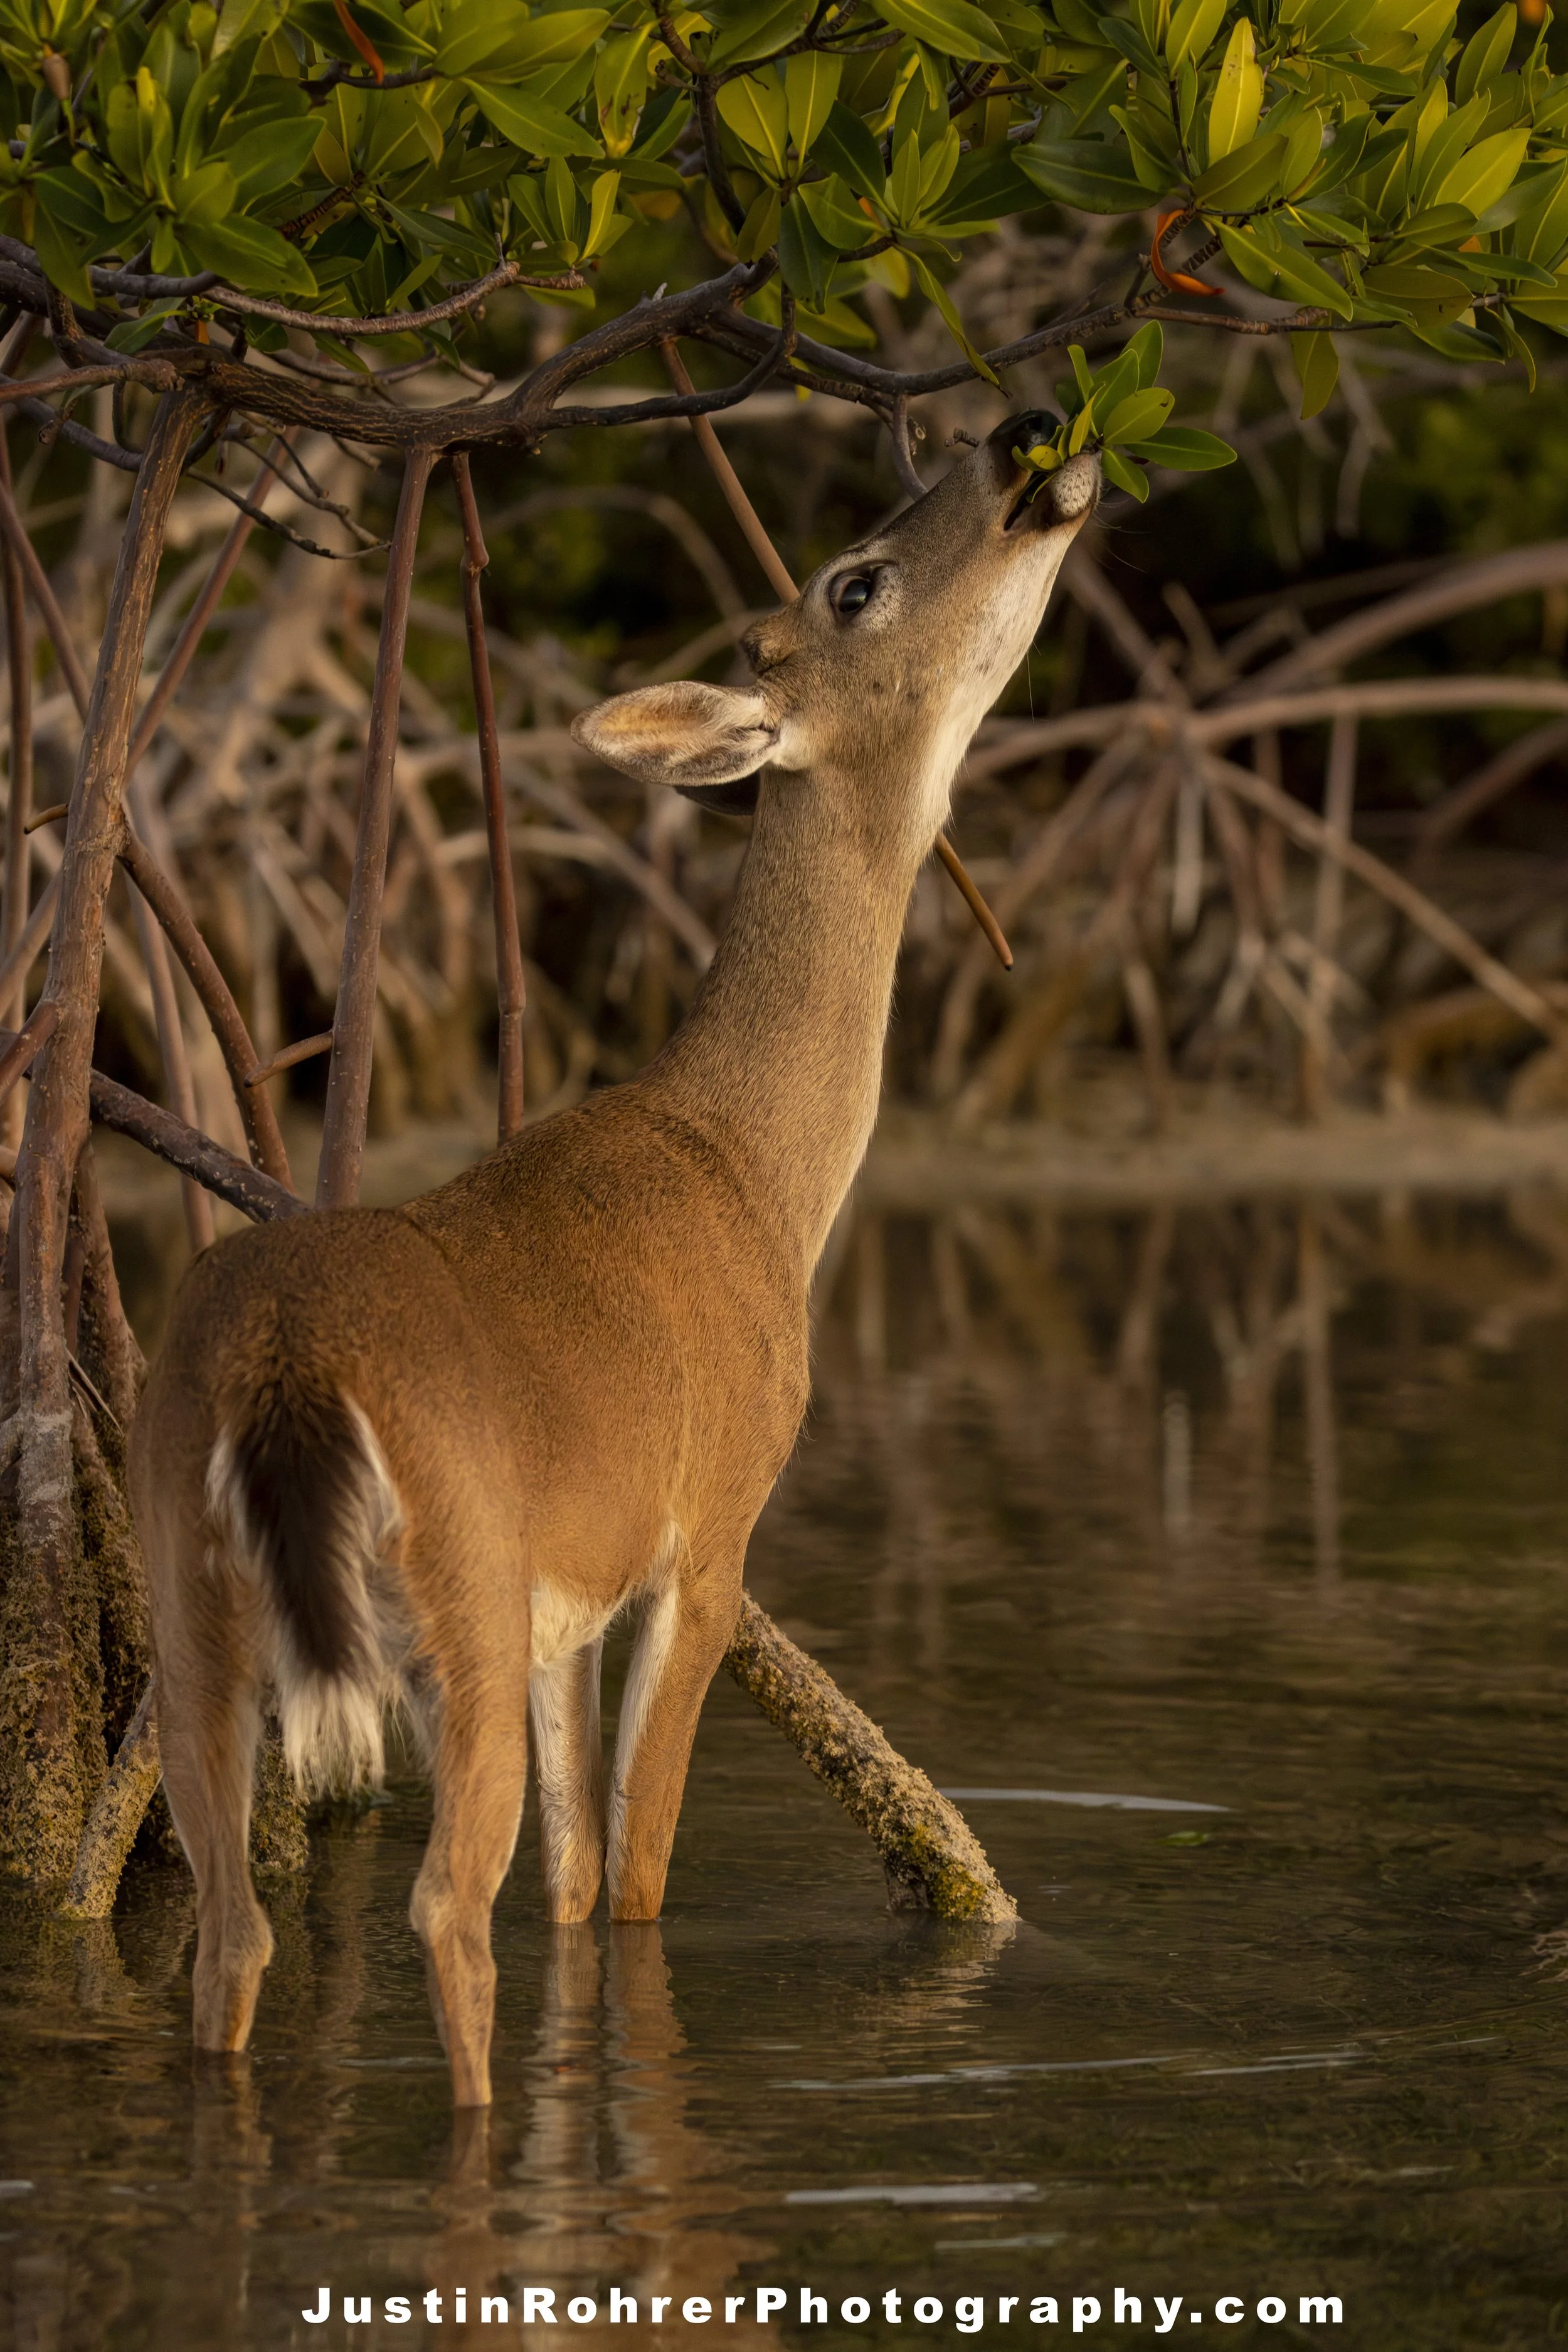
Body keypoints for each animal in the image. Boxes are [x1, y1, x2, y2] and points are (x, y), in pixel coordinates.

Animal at [130, 420, 1100, 2107]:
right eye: (854, 580)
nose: (1013, 449)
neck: (752, 1170)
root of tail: (284, 1366)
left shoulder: (563, 1608)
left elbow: (579, 1884)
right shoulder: (707, 1531)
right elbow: (636, 1881)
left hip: (192, 1595)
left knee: (237, 1926)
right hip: (448, 1575)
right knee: (446, 1907)